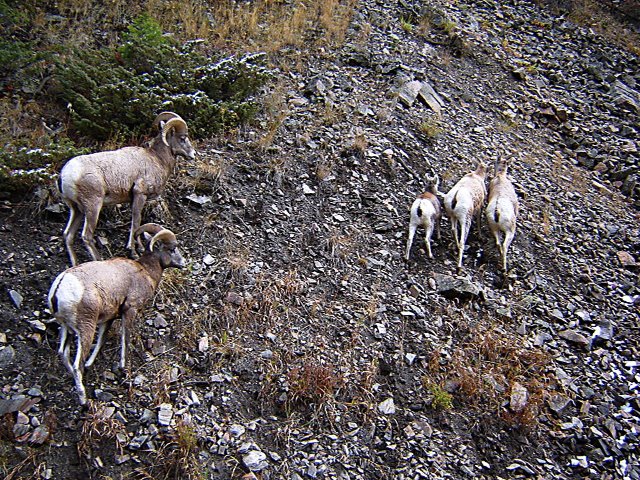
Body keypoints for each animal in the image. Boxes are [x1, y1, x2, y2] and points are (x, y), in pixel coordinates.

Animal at [47, 223, 186, 404]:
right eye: (172, 248)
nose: (184, 263)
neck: (145, 271)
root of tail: (60, 286)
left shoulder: (109, 319)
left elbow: (101, 340)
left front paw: (90, 364)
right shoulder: (130, 310)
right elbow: (125, 339)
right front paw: (123, 368)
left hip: (66, 328)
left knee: (63, 354)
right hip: (86, 328)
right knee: (77, 364)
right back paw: (84, 400)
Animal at [58, 112, 196, 266]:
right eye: (182, 138)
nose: (193, 154)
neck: (157, 159)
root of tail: (65, 175)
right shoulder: (140, 194)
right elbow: (136, 221)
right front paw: (134, 252)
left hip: (76, 209)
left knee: (68, 235)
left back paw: (75, 264)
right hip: (93, 207)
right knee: (86, 236)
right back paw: (99, 260)